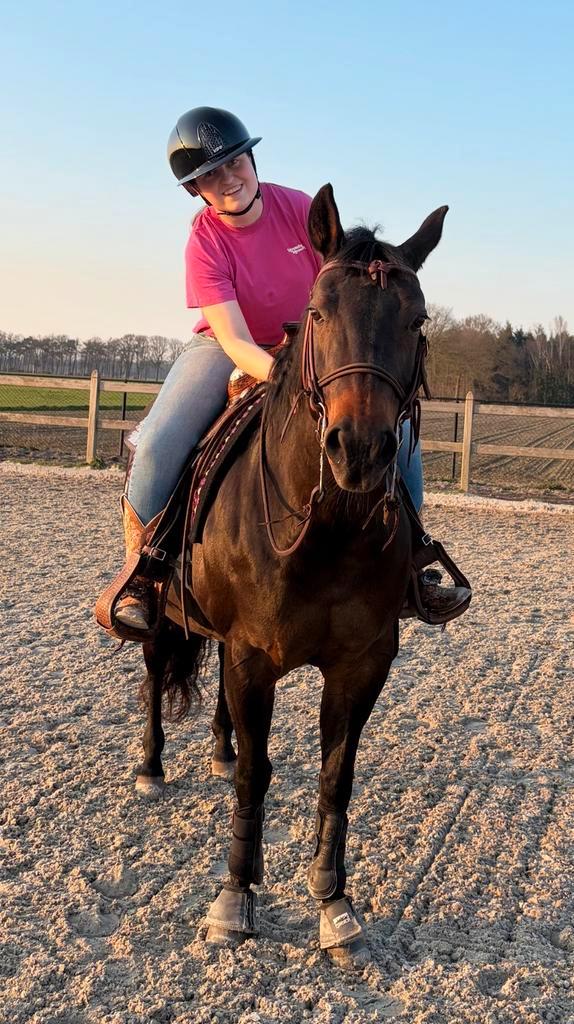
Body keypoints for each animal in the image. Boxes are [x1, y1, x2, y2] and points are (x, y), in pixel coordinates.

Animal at [134, 183, 449, 966]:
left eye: (418, 320)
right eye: (318, 312)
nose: (360, 450)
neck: (328, 533)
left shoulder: (362, 663)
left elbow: (337, 777)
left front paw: (334, 903)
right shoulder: (254, 655)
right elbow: (258, 772)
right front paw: (234, 898)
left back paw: (215, 749)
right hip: (162, 612)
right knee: (155, 669)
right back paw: (152, 765)